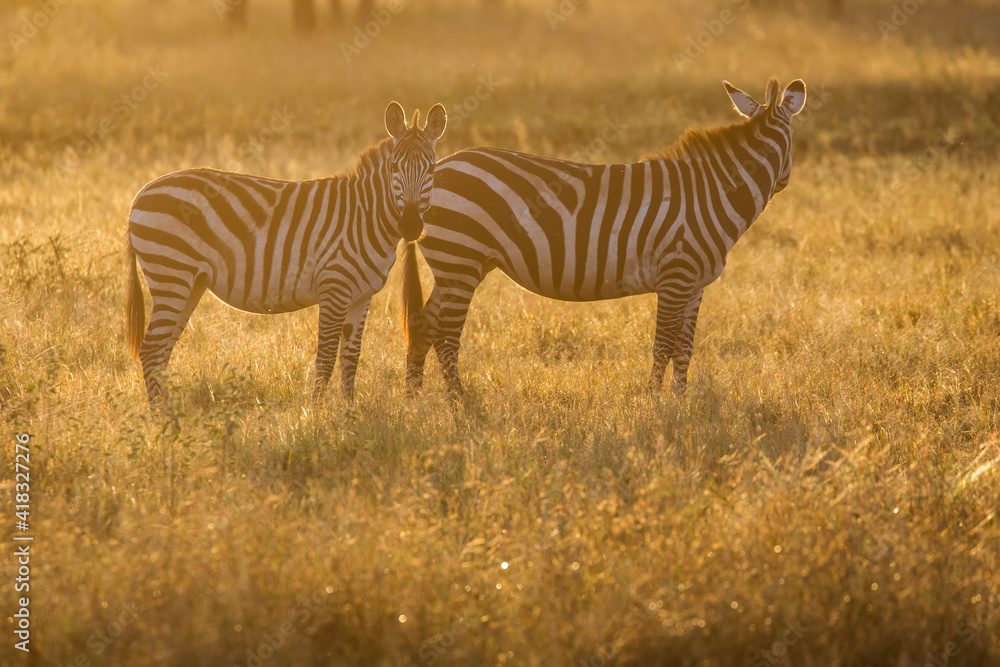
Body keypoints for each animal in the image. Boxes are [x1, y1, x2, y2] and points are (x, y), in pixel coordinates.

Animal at [126, 101, 447, 407]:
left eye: (432, 170)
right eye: (394, 168)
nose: (410, 225)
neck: (366, 215)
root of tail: (141, 192)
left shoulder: (361, 296)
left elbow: (351, 358)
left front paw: (350, 412)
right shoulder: (335, 288)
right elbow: (326, 358)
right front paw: (319, 415)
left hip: (190, 284)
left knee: (162, 351)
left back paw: (170, 415)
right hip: (171, 274)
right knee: (152, 350)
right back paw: (162, 421)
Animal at [402, 78, 805, 400]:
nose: (786, 182)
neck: (714, 192)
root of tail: (435, 168)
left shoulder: (696, 284)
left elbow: (685, 347)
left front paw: (682, 402)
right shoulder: (676, 275)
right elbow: (663, 344)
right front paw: (653, 403)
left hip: (458, 264)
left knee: (423, 324)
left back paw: (415, 401)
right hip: (460, 259)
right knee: (447, 334)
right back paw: (460, 403)